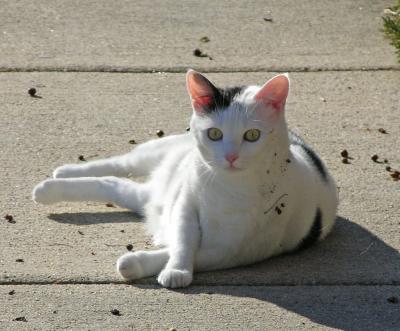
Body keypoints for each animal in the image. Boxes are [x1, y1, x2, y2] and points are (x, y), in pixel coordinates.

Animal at [32, 70, 338, 288]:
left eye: (252, 135)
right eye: (214, 134)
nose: (230, 157)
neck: (228, 187)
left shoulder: (234, 251)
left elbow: (191, 254)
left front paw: (141, 264)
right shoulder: (185, 206)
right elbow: (183, 243)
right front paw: (176, 267)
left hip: (145, 196)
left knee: (112, 184)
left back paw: (52, 188)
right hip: (156, 153)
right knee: (120, 164)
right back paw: (62, 175)